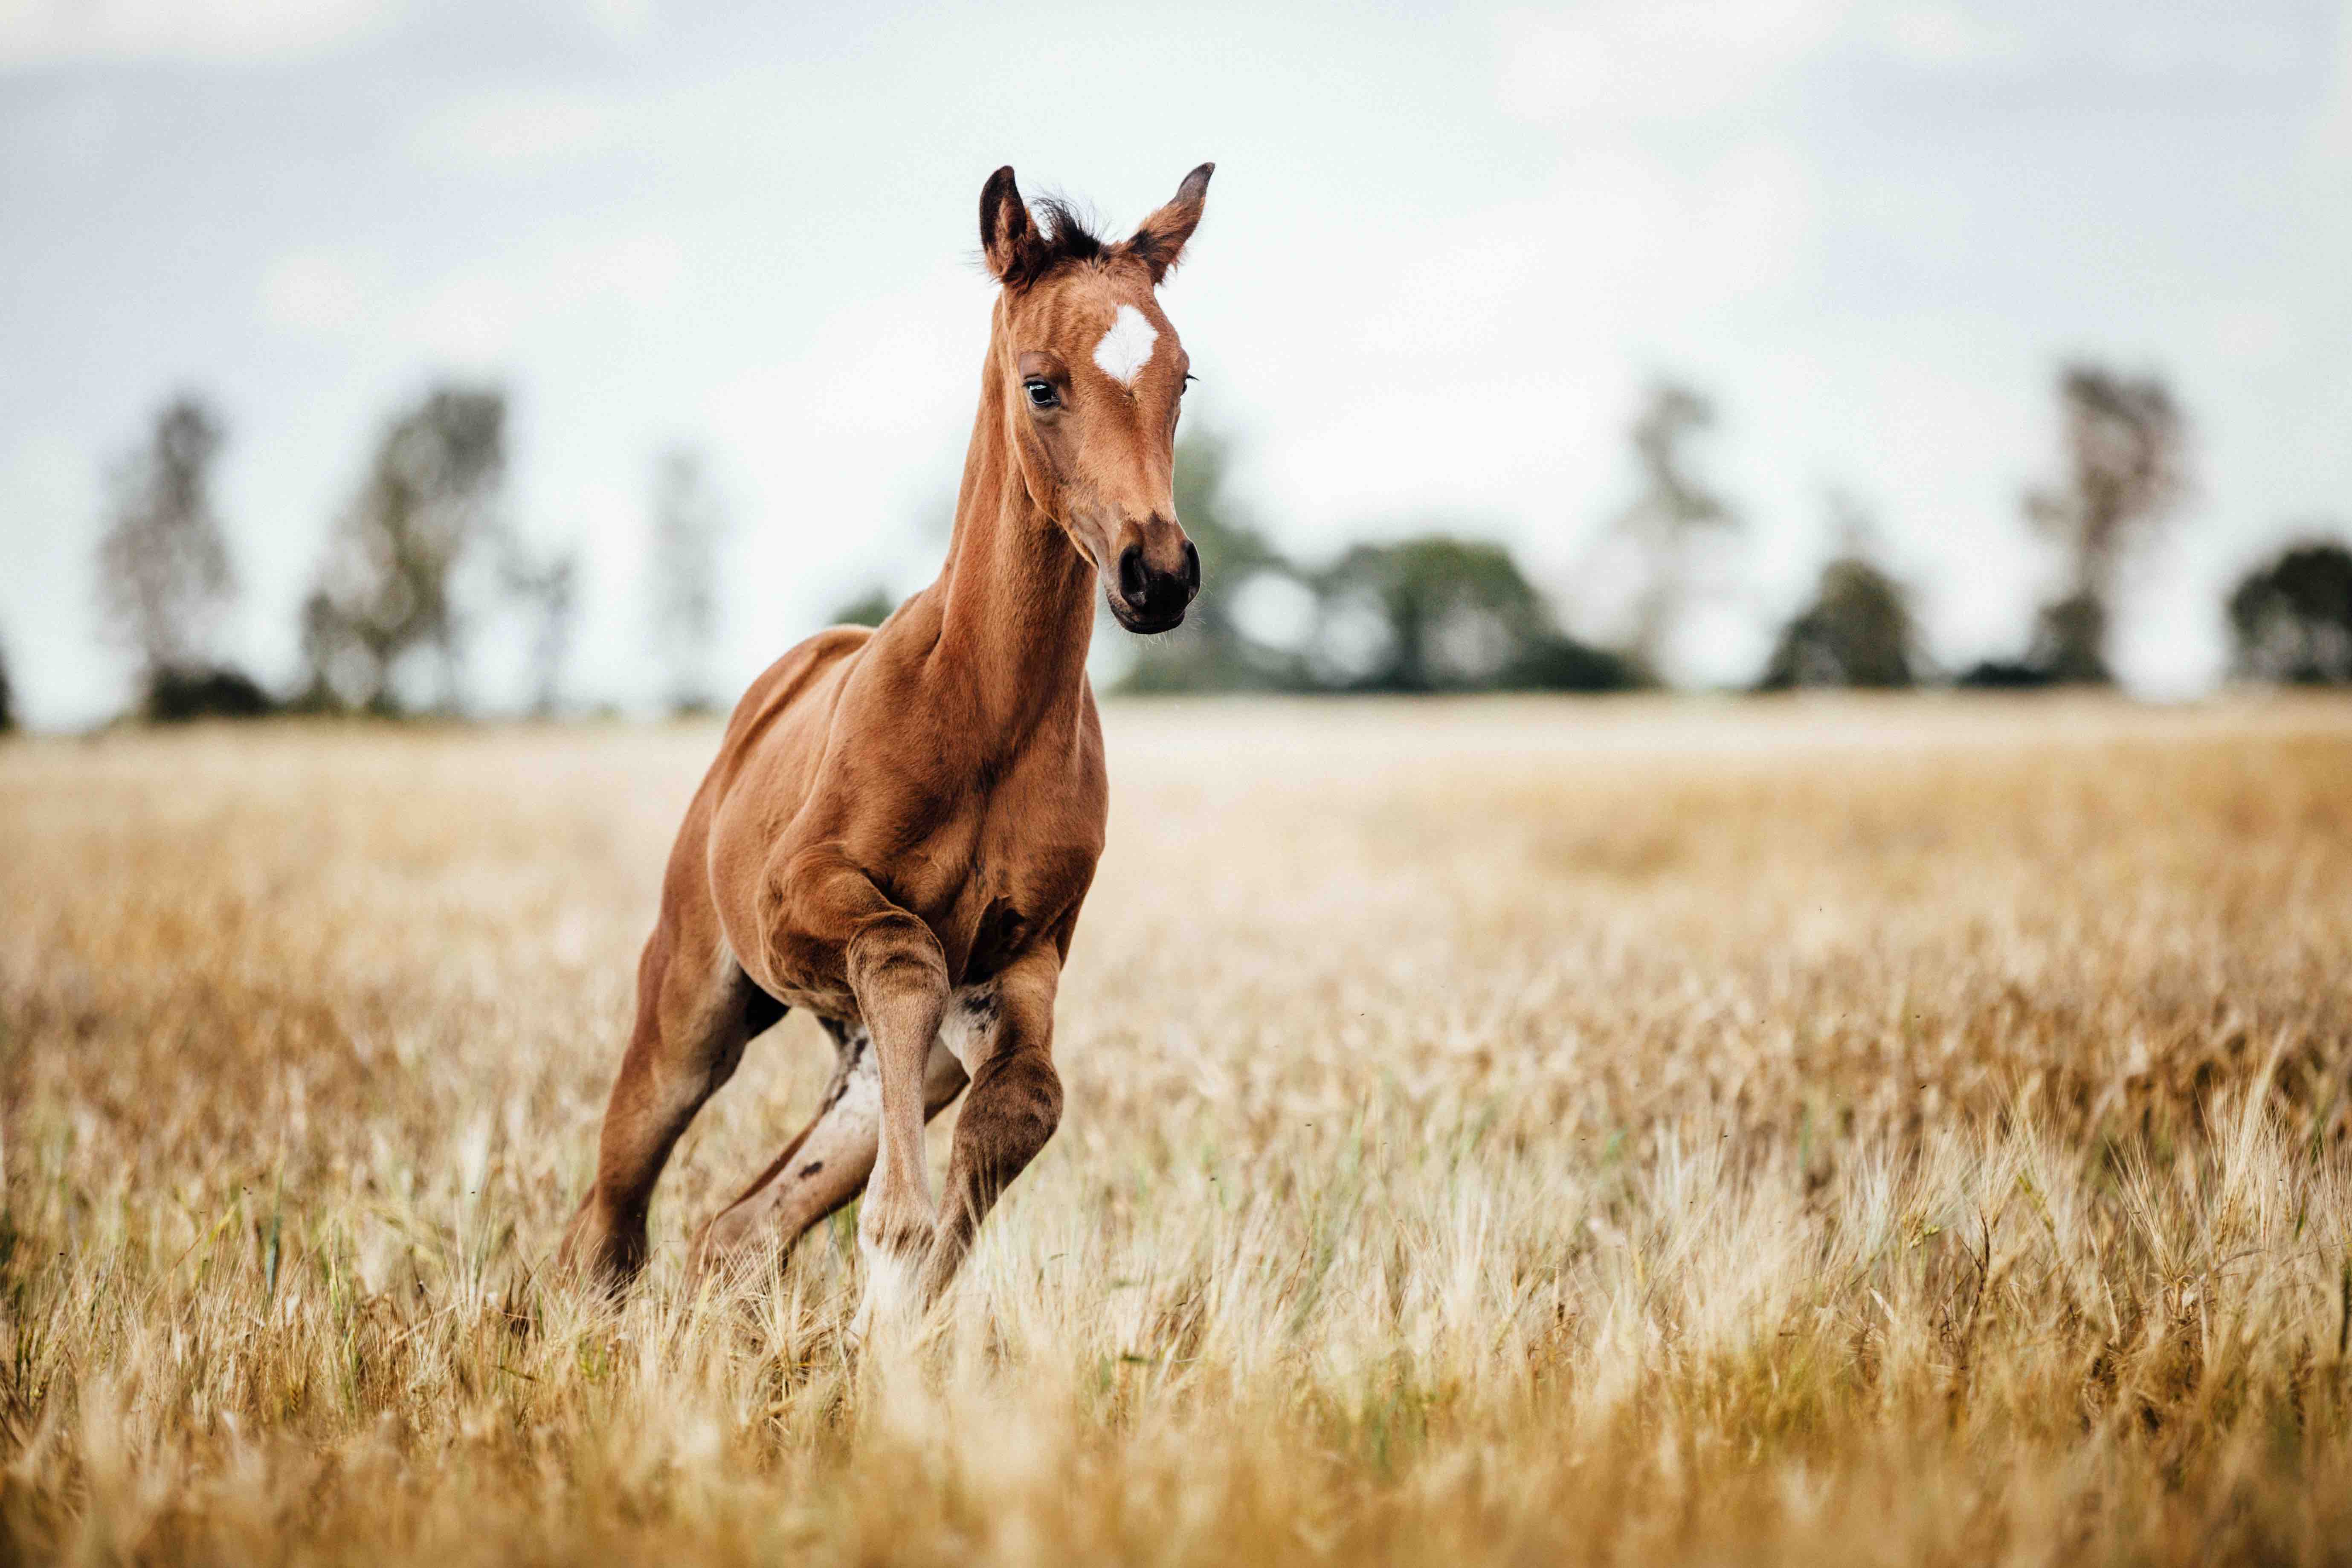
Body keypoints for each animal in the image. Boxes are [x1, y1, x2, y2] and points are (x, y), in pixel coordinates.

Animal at [555, 162, 1213, 1335]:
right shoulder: (804, 898)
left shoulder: (1021, 961)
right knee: (610, 1215)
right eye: (1041, 385)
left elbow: (1029, 1099)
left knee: (737, 1226)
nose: (1159, 574)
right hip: (692, 1005)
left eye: (1181, 379)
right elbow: (903, 949)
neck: (985, 713)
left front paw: (907, 1311)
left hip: (884, 1061)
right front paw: (898, 1252)